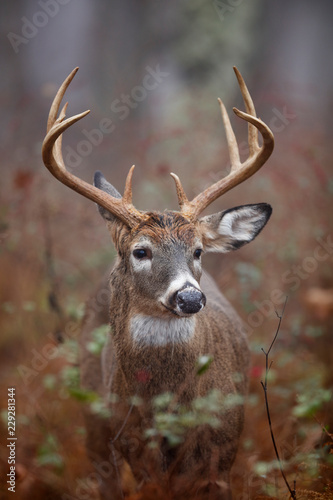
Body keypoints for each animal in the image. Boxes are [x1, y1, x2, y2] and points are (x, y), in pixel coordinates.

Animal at [42, 67, 274, 500]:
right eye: (141, 251)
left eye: (198, 250)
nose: (189, 297)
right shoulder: (135, 448)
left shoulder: (225, 446)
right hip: (93, 416)